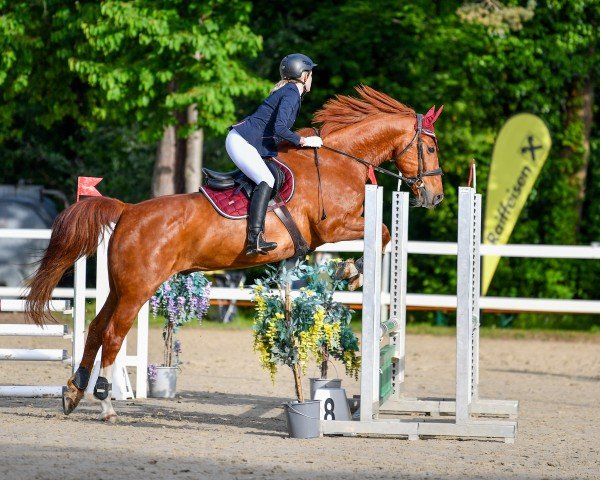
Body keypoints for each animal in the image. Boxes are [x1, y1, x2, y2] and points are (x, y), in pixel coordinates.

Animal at [25, 85, 442, 420]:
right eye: (431, 147)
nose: (435, 196)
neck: (340, 159)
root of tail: (128, 210)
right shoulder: (332, 227)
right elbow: (384, 232)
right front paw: (350, 272)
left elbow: (382, 234)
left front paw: (349, 272)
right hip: (137, 289)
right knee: (112, 335)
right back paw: (107, 404)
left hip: (121, 286)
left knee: (97, 328)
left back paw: (74, 391)